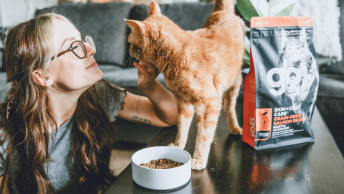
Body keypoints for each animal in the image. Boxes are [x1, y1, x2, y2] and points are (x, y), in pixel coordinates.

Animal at [125, 0, 245, 170]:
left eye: (130, 43)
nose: (128, 50)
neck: (174, 55)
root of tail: (222, 12)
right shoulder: (183, 102)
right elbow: (182, 127)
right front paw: (177, 146)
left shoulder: (210, 103)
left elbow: (203, 136)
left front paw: (199, 159)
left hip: (233, 84)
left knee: (229, 108)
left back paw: (235, 128)